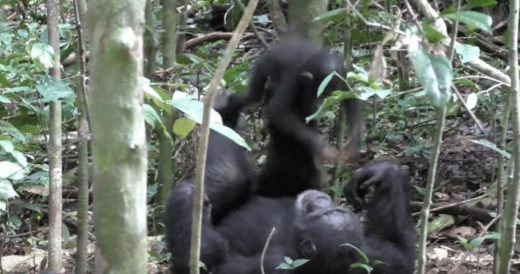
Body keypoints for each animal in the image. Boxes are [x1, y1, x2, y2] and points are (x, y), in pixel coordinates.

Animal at [218, 35, 366, 197]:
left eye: (331, 92)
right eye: (323, 93)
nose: (324, 100)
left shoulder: (341, 74)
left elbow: (351, 98)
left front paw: (353, 146)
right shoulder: (294, 77)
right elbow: (278, 110)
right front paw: (322, 149)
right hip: (262, 65)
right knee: (253, 95)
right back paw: (227, 111)